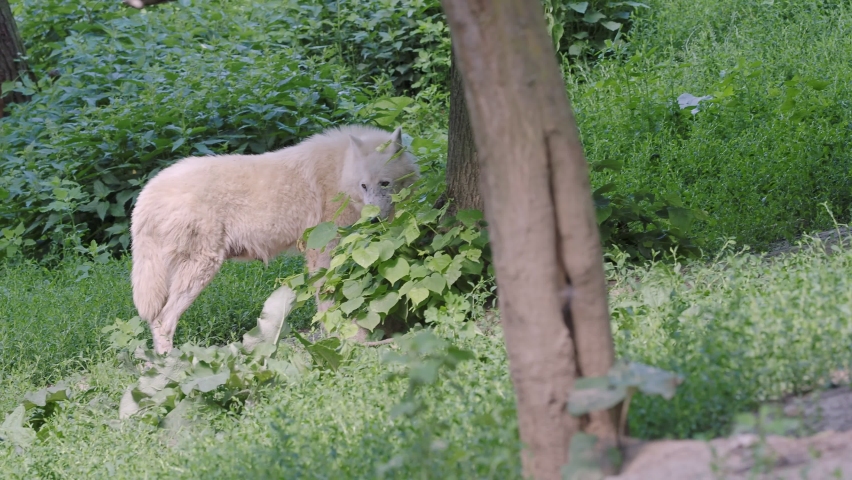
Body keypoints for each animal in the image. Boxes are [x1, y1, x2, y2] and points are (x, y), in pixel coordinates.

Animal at [130, 125, 419, 354]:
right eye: (364, 186)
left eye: (384, 183)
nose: (373, 220)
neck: (340, 172)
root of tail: (147, 193)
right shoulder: (323, 251)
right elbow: (329, 301)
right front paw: (347, 338)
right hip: (201, 269)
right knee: (162, 321)